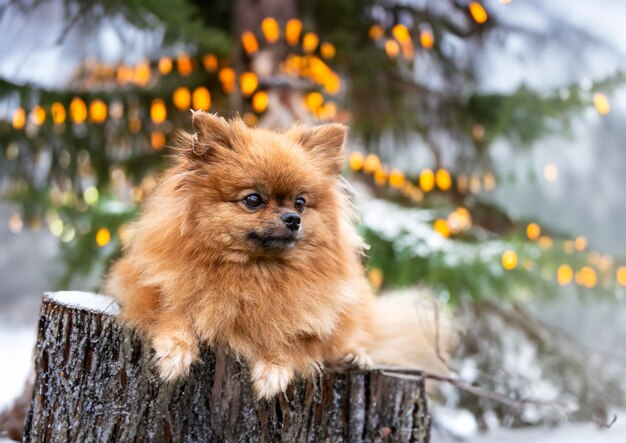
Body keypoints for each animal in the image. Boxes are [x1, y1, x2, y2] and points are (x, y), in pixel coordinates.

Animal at [105, 112, 450, 400]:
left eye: (300, 203)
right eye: (253, 200)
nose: (292, 219)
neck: (256, 272)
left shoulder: (308, 320)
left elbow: (290, 338)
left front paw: (273, 369)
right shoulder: (148, 289)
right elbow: (173, 314)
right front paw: (175, 354)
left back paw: (357, 355)